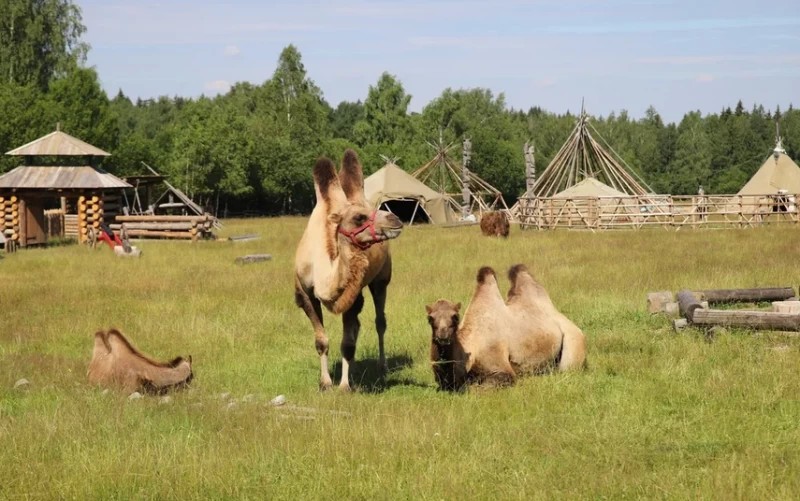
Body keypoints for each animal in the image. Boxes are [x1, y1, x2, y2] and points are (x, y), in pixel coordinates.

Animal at [294, 148, 404, 390]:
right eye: (358, 217)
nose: (395, 218)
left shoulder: (352, 295)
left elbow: (347, 343)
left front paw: (344, 386)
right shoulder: (306, 294)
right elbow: (321, 341)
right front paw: (325, 383)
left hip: (381, 279)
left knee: (379, 322)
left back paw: (381, 366)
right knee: (358, 326)